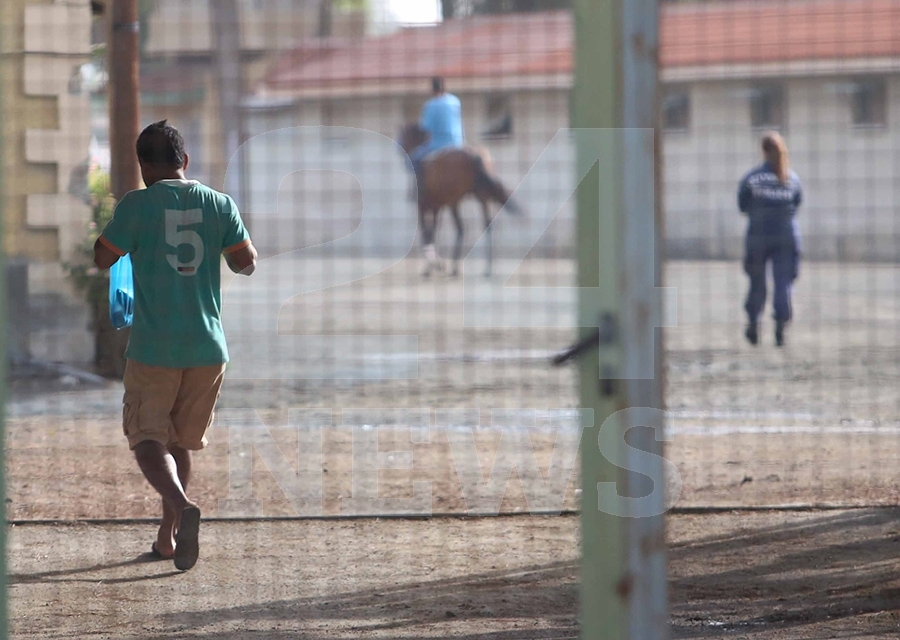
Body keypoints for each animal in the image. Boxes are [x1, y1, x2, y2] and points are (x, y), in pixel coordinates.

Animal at [398, 123, 520, 278]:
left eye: (402, 136)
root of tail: (475, 154)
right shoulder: (436, 207)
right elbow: (434, 232)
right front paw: (437, 264)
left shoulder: (423, 206)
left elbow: (426, 234)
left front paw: (432, 266)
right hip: (482, 198)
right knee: (486, 226)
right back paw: (486, 268)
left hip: (454, 202)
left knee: (460, 228)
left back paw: (455, 267)